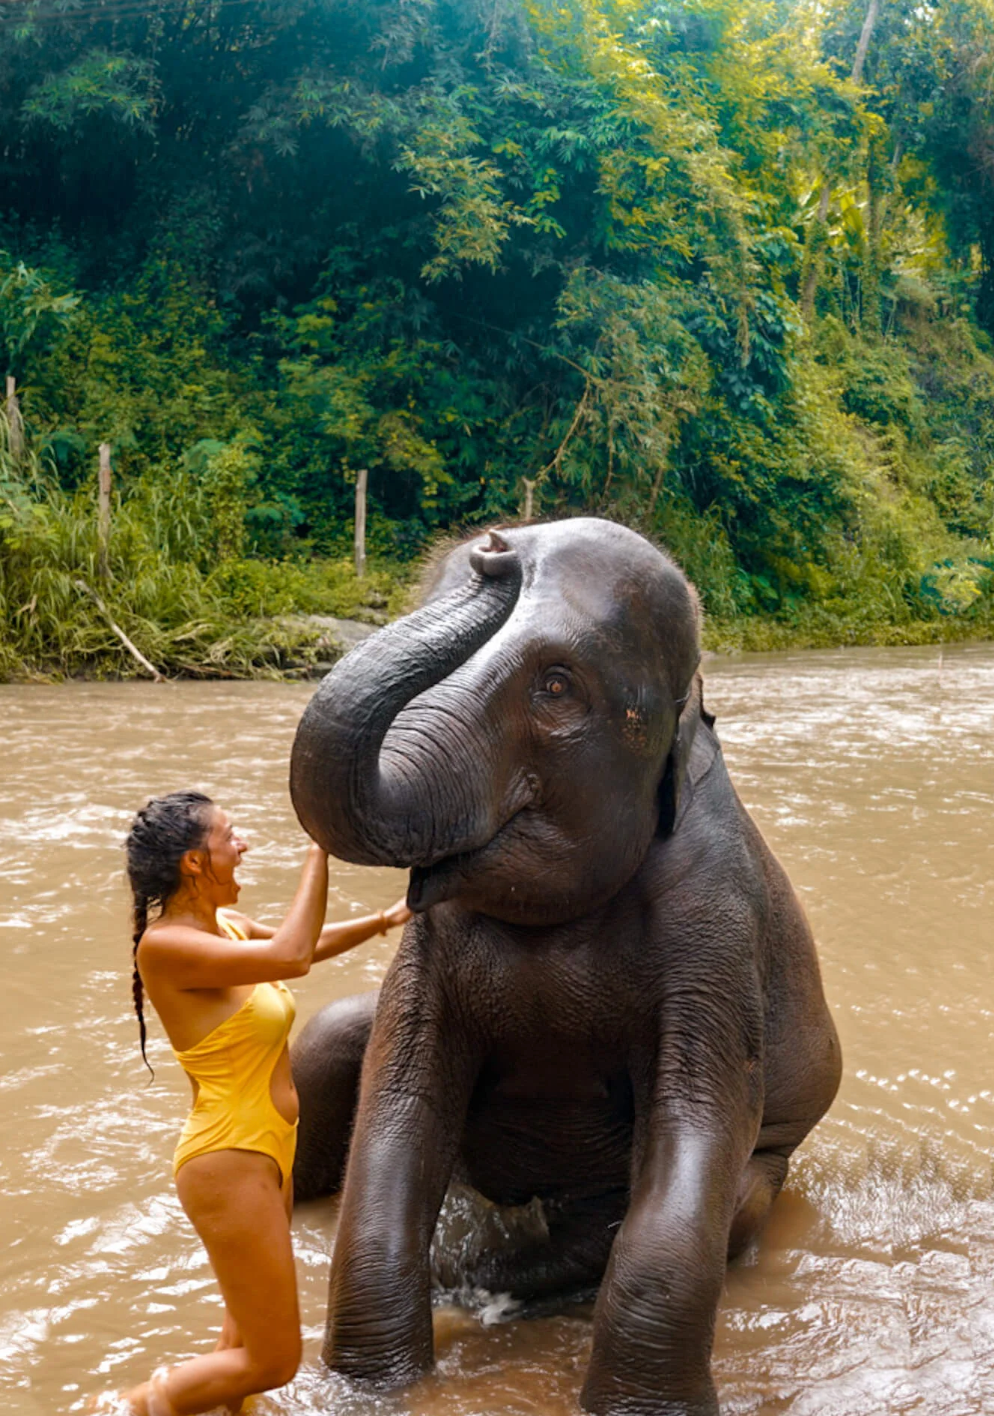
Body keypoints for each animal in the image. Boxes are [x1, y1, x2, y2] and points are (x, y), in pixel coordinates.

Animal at [289, 516, 841, 1416]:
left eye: (556, 686)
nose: (494, 546)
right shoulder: (432, 950)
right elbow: (401, 1106)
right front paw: (370, 1384)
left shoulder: (716, 926)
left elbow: (695, 1129)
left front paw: (643, 1407)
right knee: (333, 1035)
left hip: (774, 1163)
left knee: (727, 1210)